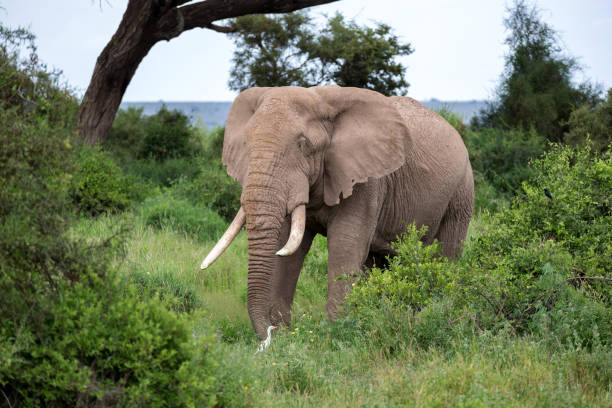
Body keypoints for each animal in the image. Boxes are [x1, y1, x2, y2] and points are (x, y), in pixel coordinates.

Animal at [201, 84, 474, 340]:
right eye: (246, 143)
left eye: (303, 144)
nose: (267, 334)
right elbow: (287, 247)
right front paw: (283, 337)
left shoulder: (367, 181)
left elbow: (345, 245)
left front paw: (336, 334)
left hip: (461, 193)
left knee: (447, 252)